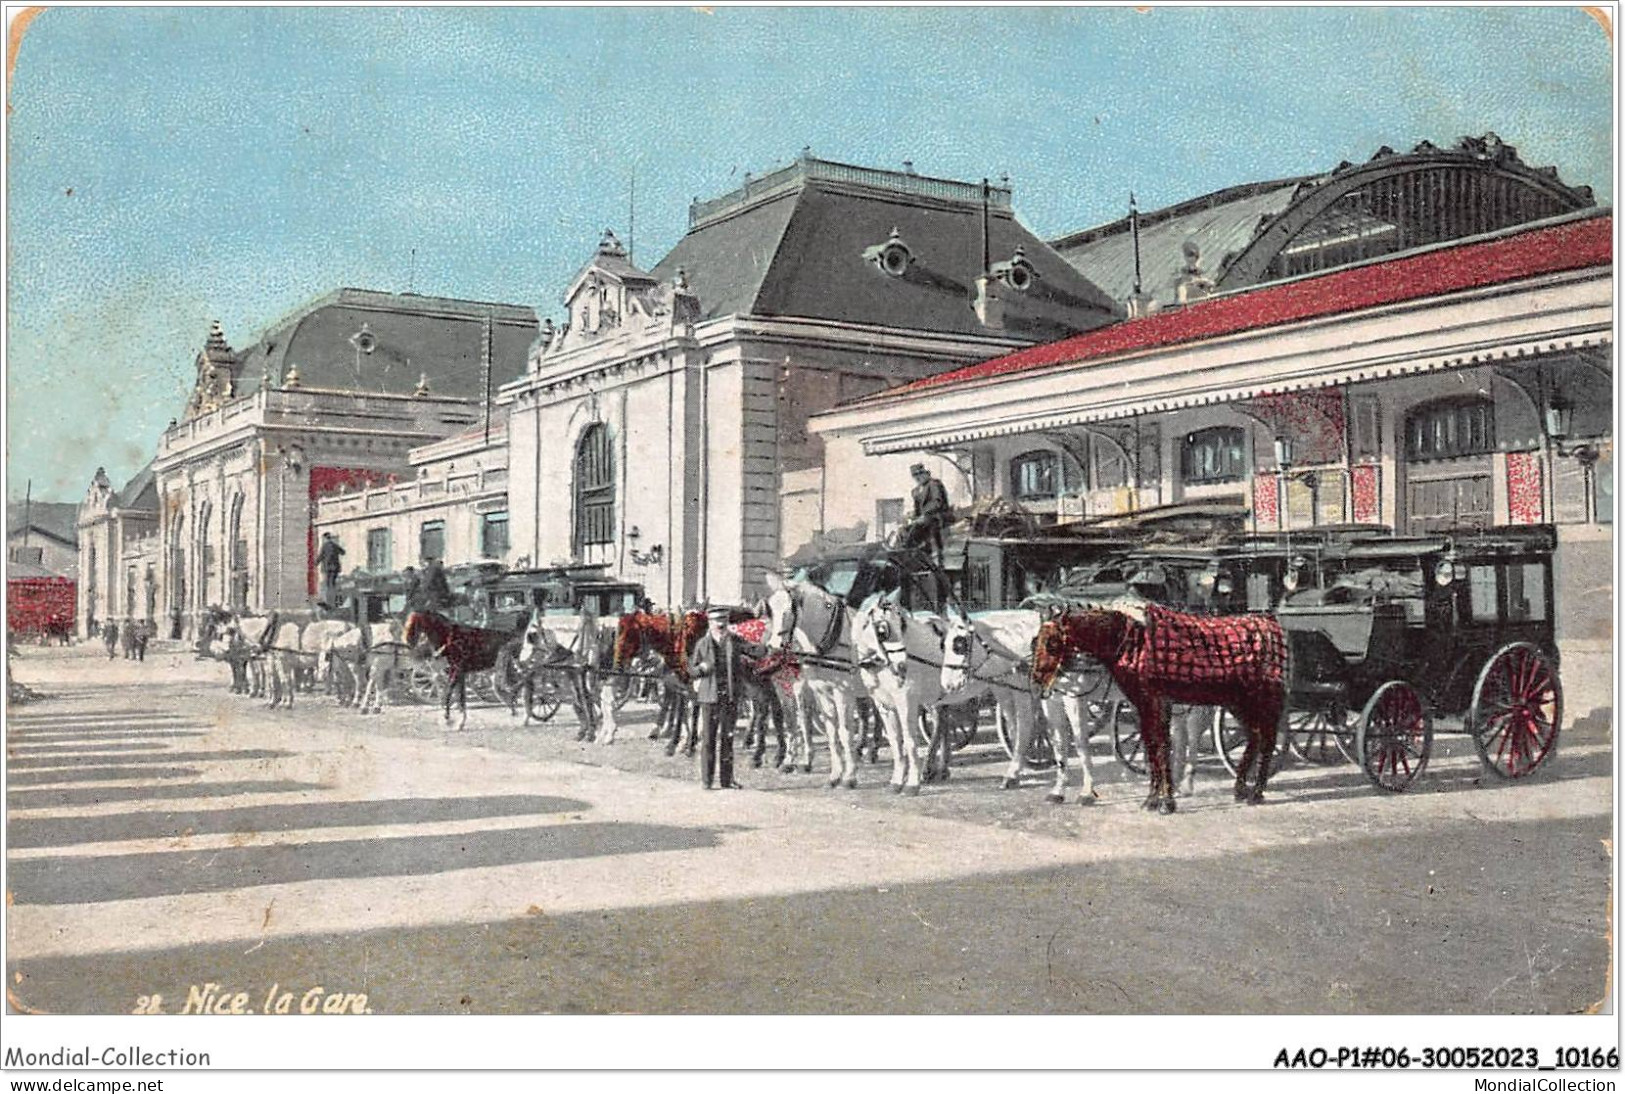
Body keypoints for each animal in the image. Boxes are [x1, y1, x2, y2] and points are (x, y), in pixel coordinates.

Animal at [754, 572, 871, 786]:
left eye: (788, 611)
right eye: (770, 611)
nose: (773, 647)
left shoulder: (839, 691)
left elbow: (841, 730)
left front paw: (849, 776)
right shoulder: (814, 689)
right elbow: (811, 725)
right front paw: (832, 773)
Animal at [1033, 601, 1287, 816]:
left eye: (1052, 643)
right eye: (1036, 639)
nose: (1036, 678)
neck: (1133, 644)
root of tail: (1271, 624)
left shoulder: (1159, 703)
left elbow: (1163, 748)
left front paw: (1166, 802)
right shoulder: (1143, 706)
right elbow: (1152, 747)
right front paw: (1152, 800)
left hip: (1264, 700)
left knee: (1268, 740)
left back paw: (1256, 793)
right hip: (1237, 703)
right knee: (1255, 737)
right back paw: (1240, 789)